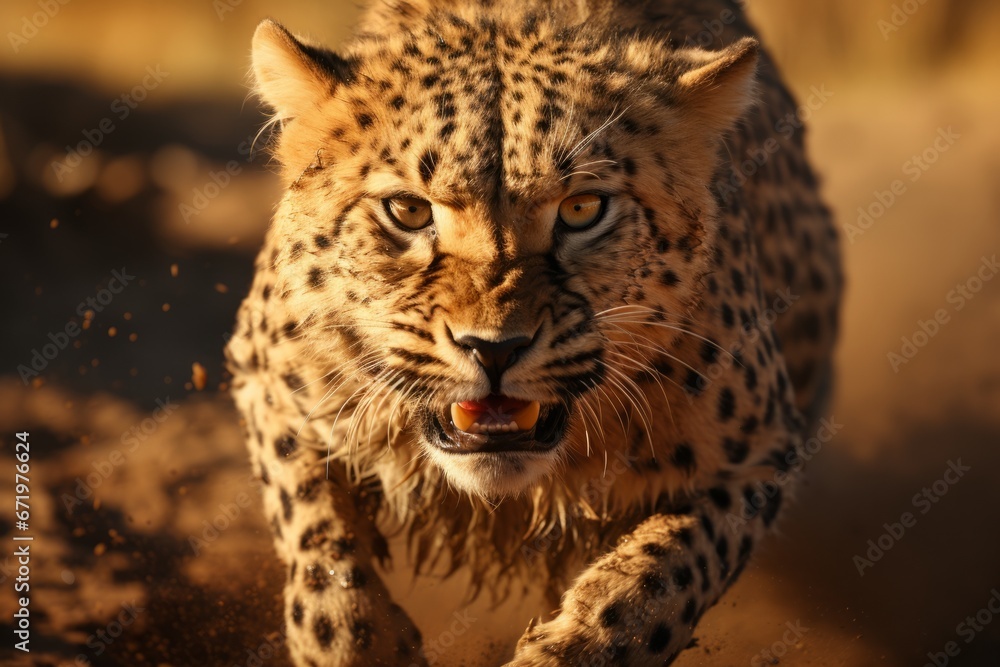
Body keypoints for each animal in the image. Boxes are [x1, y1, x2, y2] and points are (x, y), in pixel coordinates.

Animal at [225, 0, 842, 664]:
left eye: (583, 210)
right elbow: (318, 540)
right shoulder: (268, 384)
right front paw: (353, 639)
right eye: (408, 212)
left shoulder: (757, 456)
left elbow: (653, 583)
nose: (494, 349)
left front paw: (570, 646)